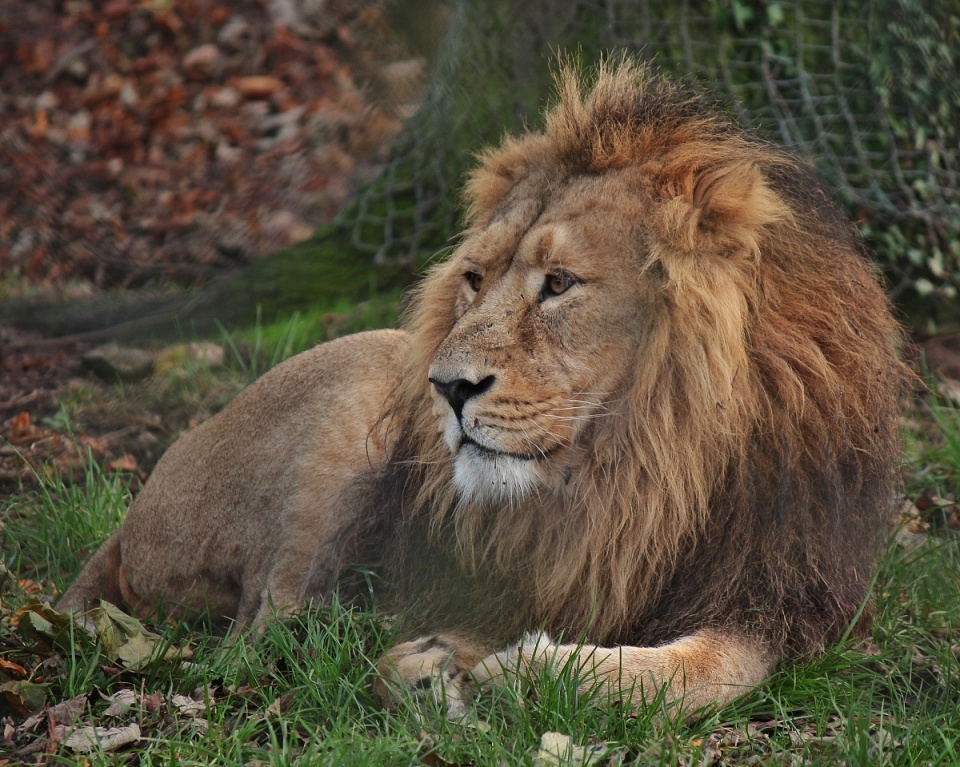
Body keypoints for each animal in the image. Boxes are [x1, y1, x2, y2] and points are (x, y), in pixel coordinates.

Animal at [58, 59, 910, 717]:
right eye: (473, 278)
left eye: (559, 283)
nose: (446, 385)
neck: (646, 461)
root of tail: (134, 509)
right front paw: (474, 665)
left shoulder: (784, 589)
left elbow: (711, 668)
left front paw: (520, 670)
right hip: (359, 383)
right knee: (261, 636)